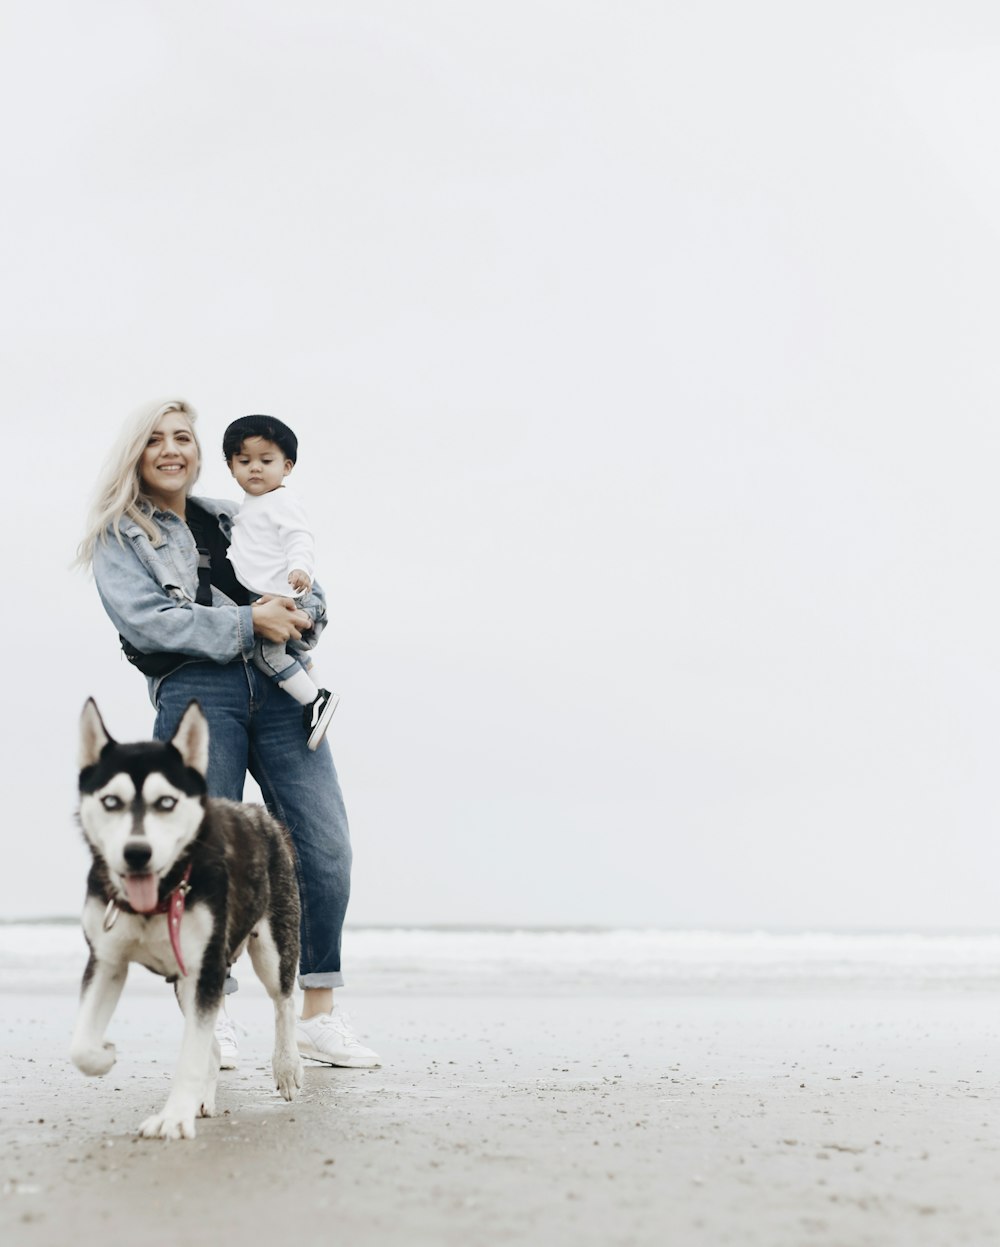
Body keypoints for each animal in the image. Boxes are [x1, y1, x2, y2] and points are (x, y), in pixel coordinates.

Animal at [73, 703, 301, 1142]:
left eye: (165, 802)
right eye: (111, 801)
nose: (137, 852)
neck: (160, 896)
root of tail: (260, 814)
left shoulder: (205, 968)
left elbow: (193, 1053)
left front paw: (174, 1117)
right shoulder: (106, 960)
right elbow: (81, 1046)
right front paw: (103, 1055)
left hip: (271, 946)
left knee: (283, 1002)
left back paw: (287, 1066)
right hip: (183, 978)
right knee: (213, 1045)